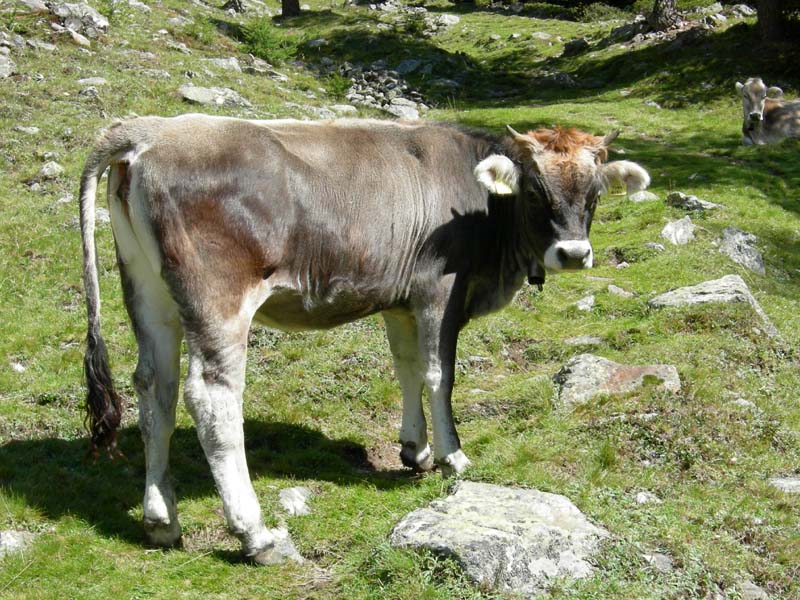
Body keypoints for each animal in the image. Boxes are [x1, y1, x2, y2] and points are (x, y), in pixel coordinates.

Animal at [79, 115, 620, 564]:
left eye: (595, 194)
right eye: (535, 192)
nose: (574, 254)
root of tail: (150, 131)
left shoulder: (400, 299)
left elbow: (405, 367)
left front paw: (415, 449)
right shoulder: (440, 290)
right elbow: (438, 373)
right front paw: (452, 456)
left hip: (148, 292)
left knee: (156, 390)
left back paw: (160, 520)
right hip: (219, 300)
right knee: (212, 398)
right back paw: (257, 536)